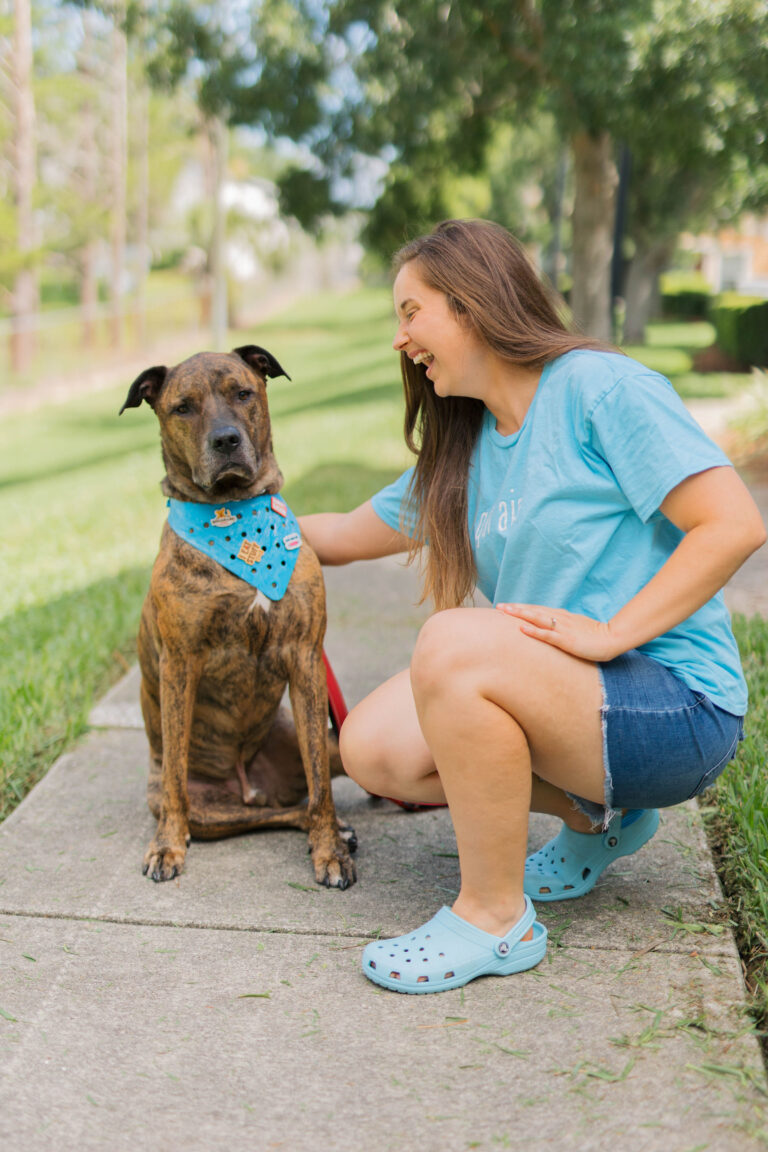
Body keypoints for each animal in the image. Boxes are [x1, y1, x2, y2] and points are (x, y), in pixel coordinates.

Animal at [120, 345, 356, 884]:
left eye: (243, 393)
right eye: (182, 407)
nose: (226, 439)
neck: (235, 520)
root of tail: (249, 783)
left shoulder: (305, 658)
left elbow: (322, 786)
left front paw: (329, 851)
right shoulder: (179, 665)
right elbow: (175, 782)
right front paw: (166, 847)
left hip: (327, 741)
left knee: (311, 788)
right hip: (208, 809)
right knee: (265, 812)